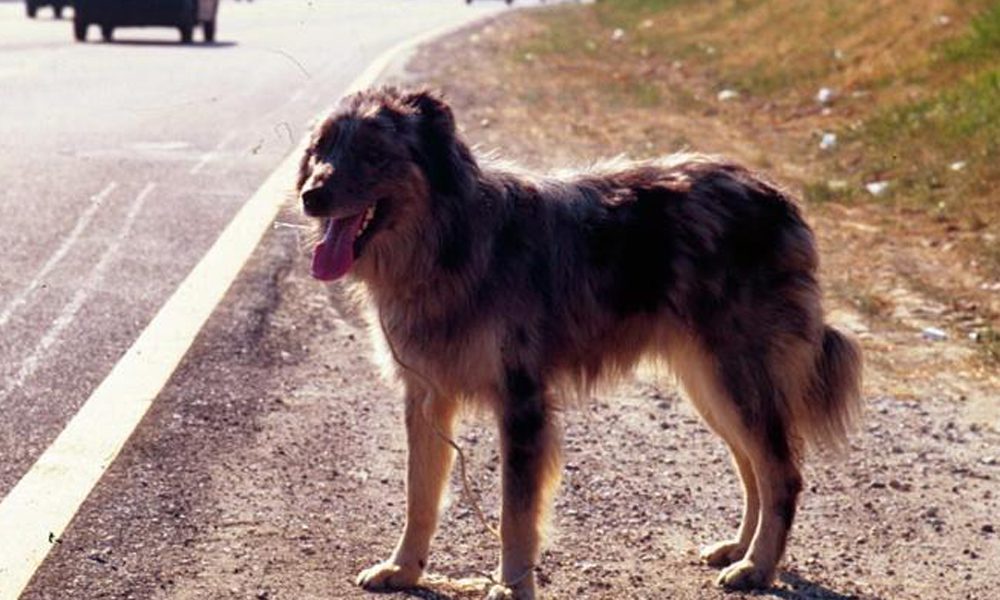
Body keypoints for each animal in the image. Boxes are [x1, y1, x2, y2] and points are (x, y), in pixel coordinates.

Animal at [294, 85, 860, 600]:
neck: (450, 242)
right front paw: (404, 570)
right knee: (752, 468)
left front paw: (512, 588)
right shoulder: (426, 399)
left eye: (373, 152)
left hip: (736, 379)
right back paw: (740, 550)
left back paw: (757, 568)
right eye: (322, 148)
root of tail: (778, 198)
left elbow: (516, 514)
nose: (310, 196)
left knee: (781, 473)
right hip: (711, 386)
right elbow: (420, 498)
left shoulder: (522, 404)